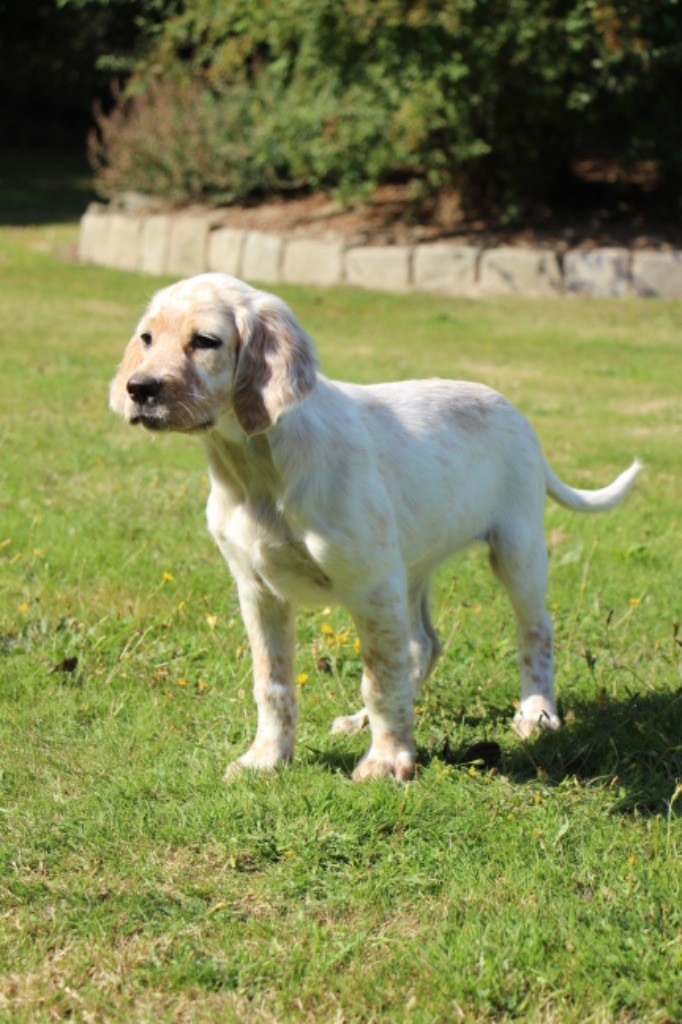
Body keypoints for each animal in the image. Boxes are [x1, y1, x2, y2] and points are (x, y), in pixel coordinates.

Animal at [109, 276, 638, 778]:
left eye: (205, 341)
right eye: (147, 338)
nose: (139, 389)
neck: (254, 470)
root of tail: (513, 409)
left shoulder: (371, 584)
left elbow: (380, 679)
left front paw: (386, 761)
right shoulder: (258, 589)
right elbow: (273, 682)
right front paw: (267, 758)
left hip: (516, 546)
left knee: (535, 630)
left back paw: (536, 712)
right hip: (411, 565)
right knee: (421, 644)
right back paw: (363, 720)